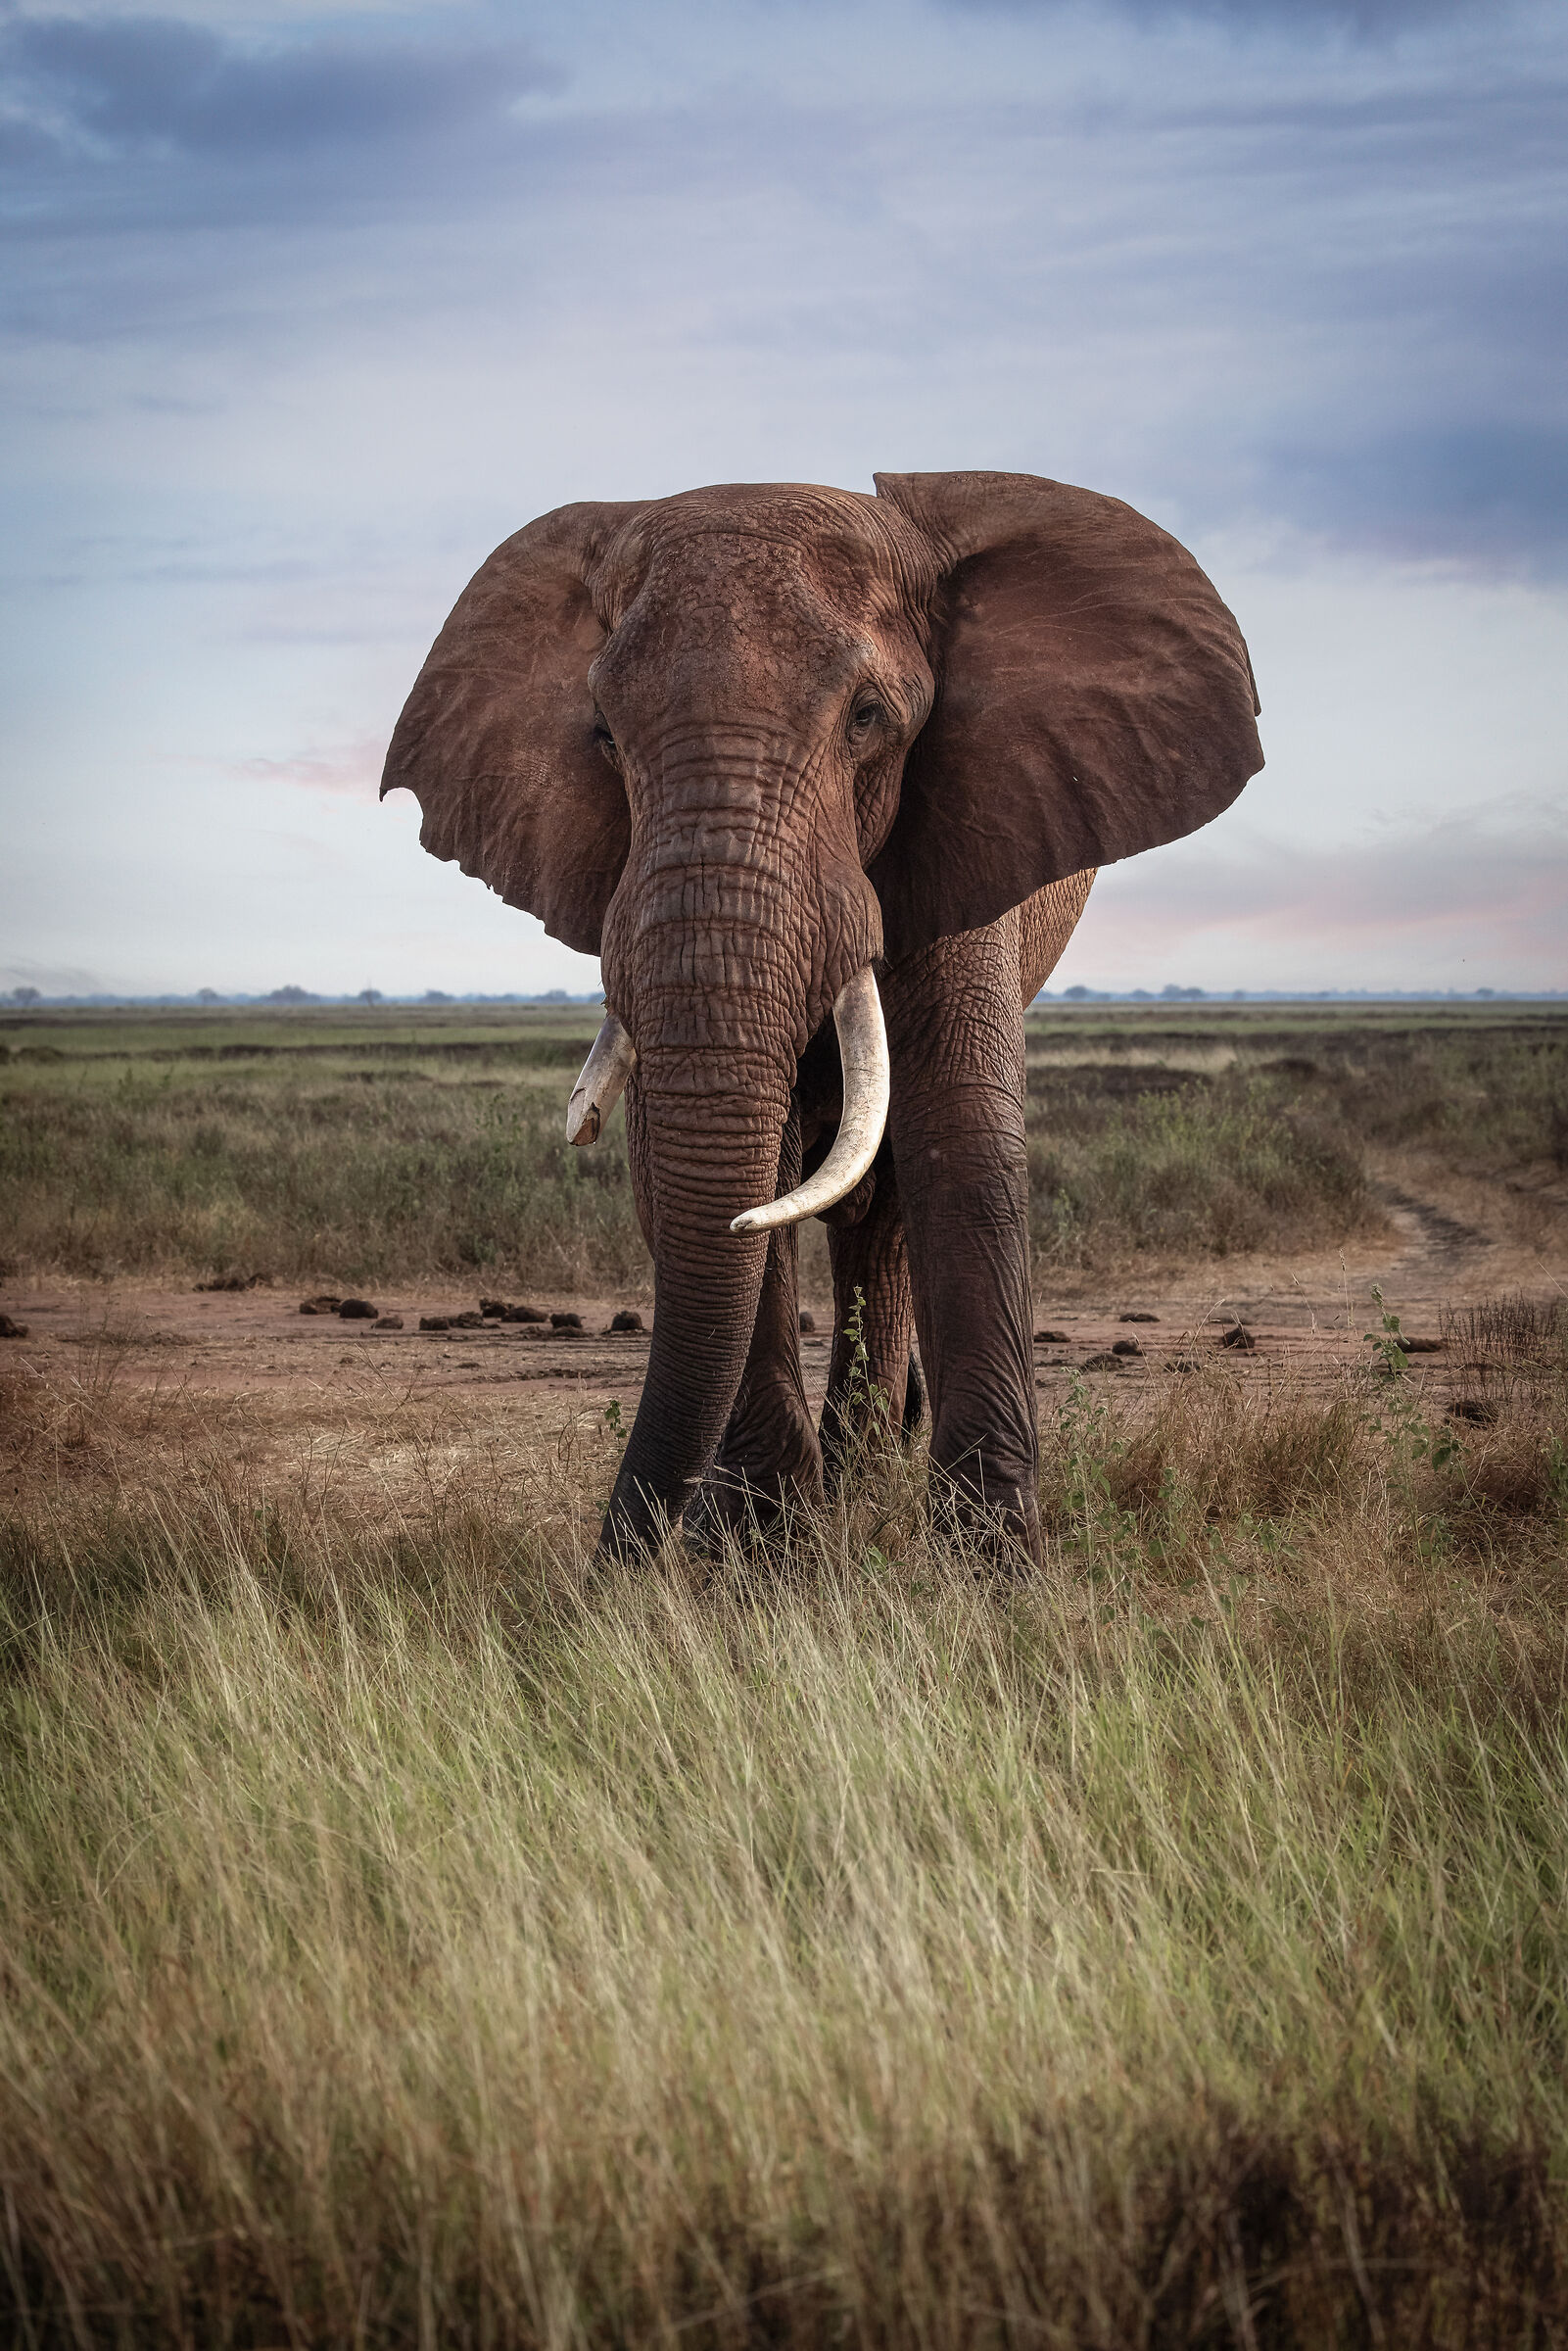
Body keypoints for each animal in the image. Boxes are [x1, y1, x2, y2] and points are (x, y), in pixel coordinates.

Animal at [382, 471, 1263, 1564]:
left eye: (870, 718)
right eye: (603, 737)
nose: (608, 1568)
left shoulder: (970, 822)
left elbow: (961, 1143)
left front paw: (992, 1573)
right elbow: (700, 1171)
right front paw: (761, 1557)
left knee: (882, 1208)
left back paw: (868, 1470)